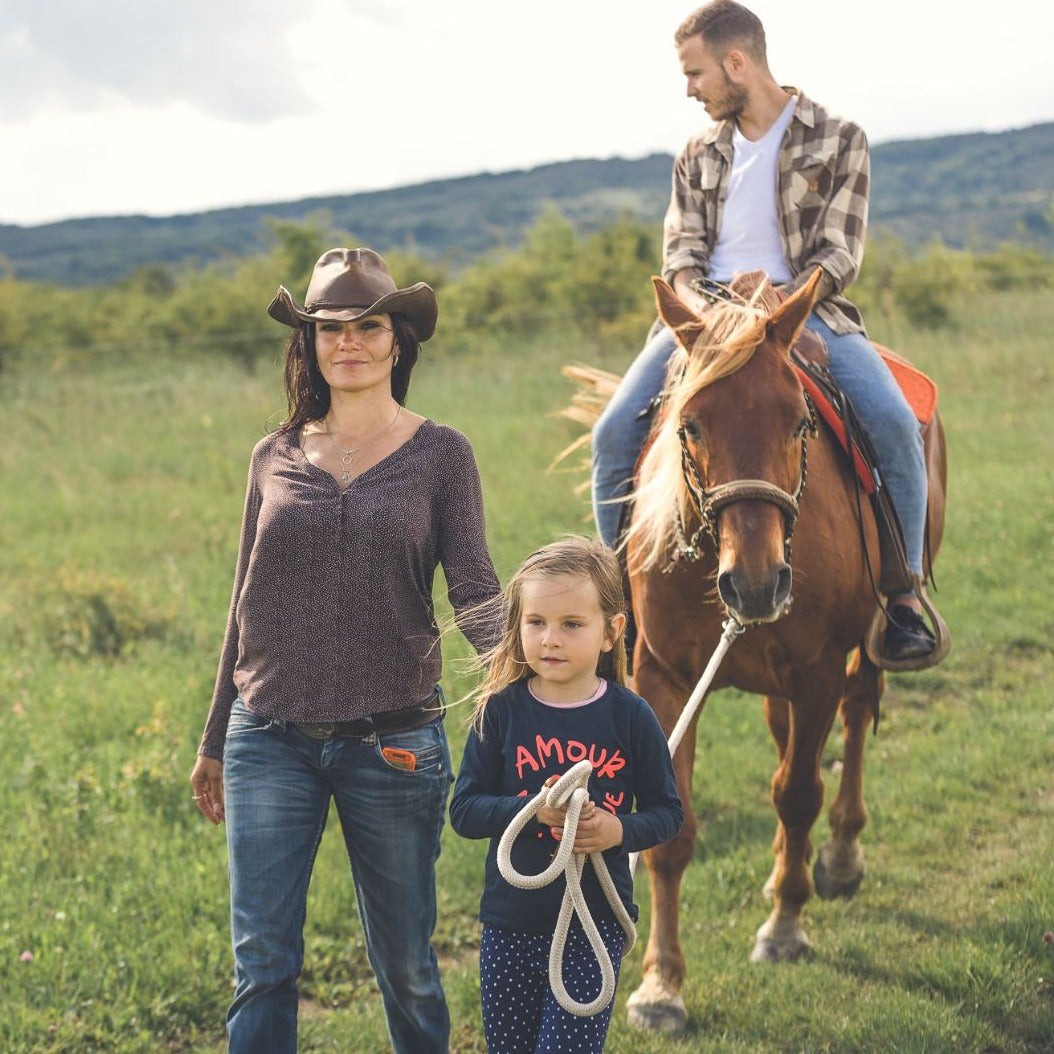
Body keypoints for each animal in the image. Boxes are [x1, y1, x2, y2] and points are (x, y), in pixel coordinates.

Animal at [619, 269, 952, 1028]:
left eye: (799, 421)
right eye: (690, 425)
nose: (755, 582)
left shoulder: (818, 670)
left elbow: (800, 793)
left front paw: (785, 928)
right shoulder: (664, 679)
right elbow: (674, 834)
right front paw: (660, 987)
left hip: (867, 642)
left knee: (854, 719)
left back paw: (837, 858)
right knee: (783, 740)